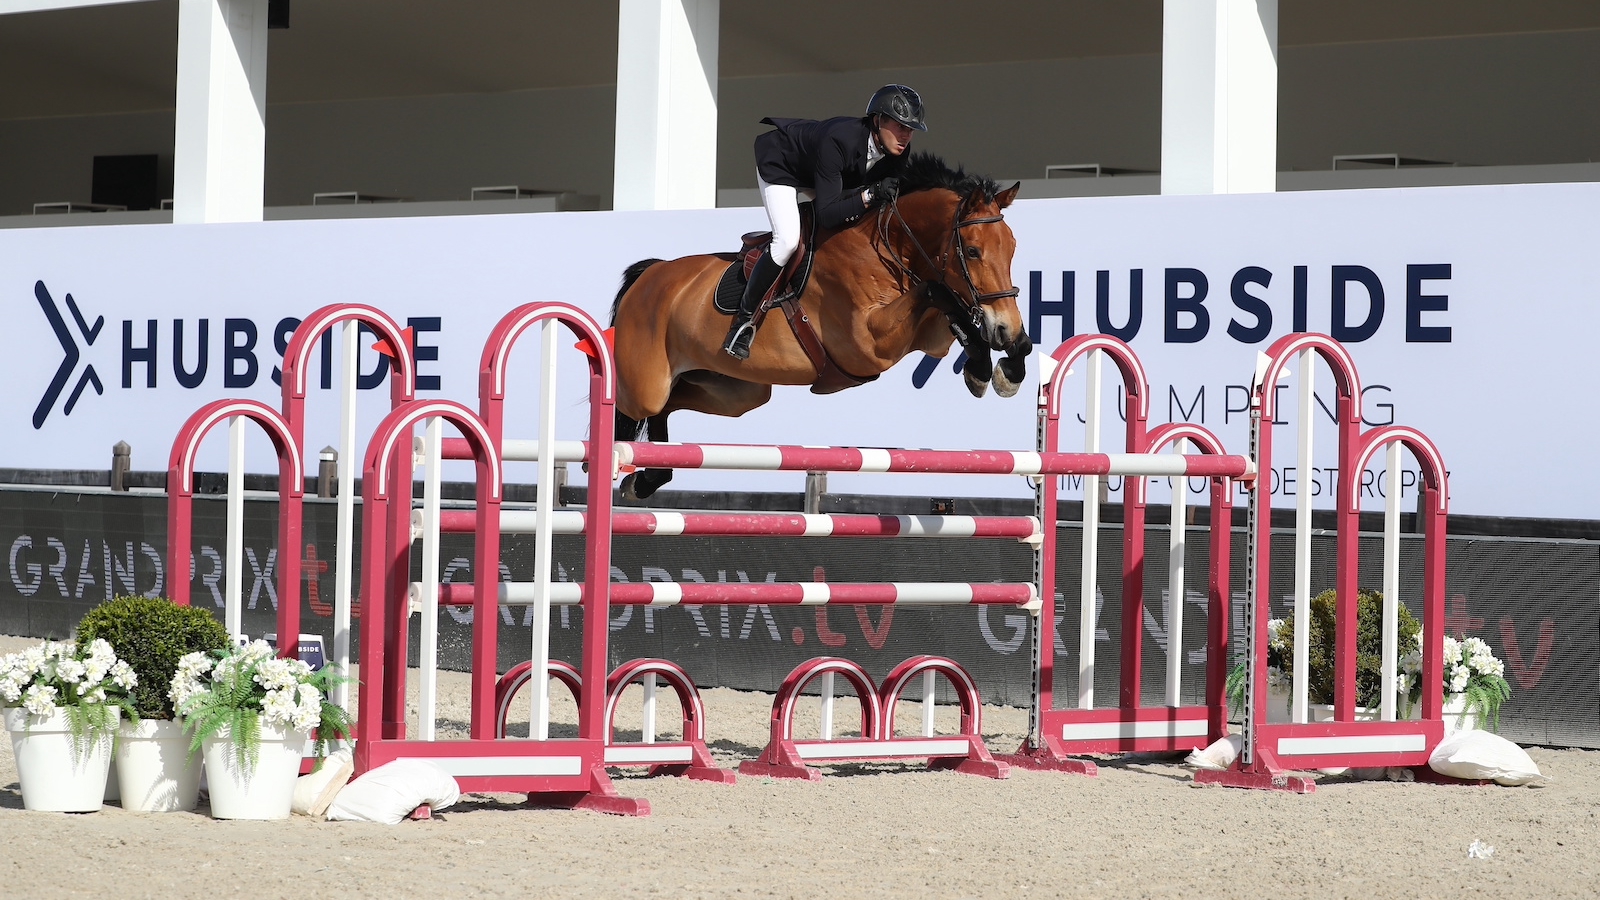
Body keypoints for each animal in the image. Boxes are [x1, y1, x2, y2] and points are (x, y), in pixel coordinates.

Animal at [604, 152, 1030, 496]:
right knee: (629, 411)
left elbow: (953, 308)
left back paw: (647, 478)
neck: (887, 245)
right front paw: (994, 363)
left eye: (1012, 249)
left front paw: (1002, 364)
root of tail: (652, 273)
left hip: (734, 392)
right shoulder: (867, 346)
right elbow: (937, 291)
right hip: (644, 385)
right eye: (972, 251)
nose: (1007, 328)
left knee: (669, 406)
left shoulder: (927, 333)